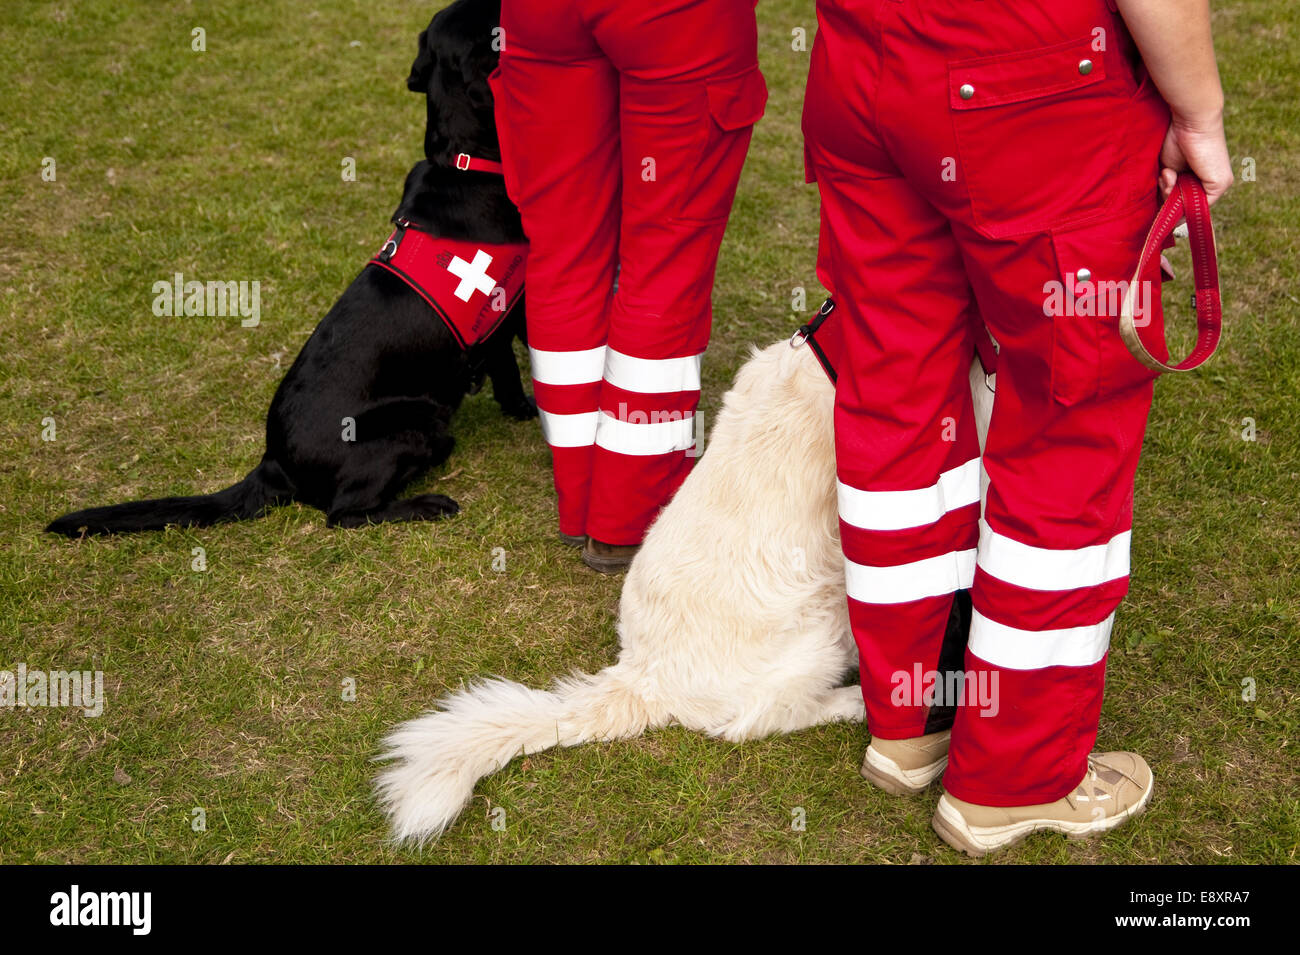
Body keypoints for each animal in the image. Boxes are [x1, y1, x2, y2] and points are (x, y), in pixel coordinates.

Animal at [47, 0, 533, 537]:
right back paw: (426, 504)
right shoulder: (512, 309)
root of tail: (273, 463)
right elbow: (516, 372)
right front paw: (530, 412)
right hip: (418, 423)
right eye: (491, 20)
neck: (465, 161)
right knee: (345, 514)